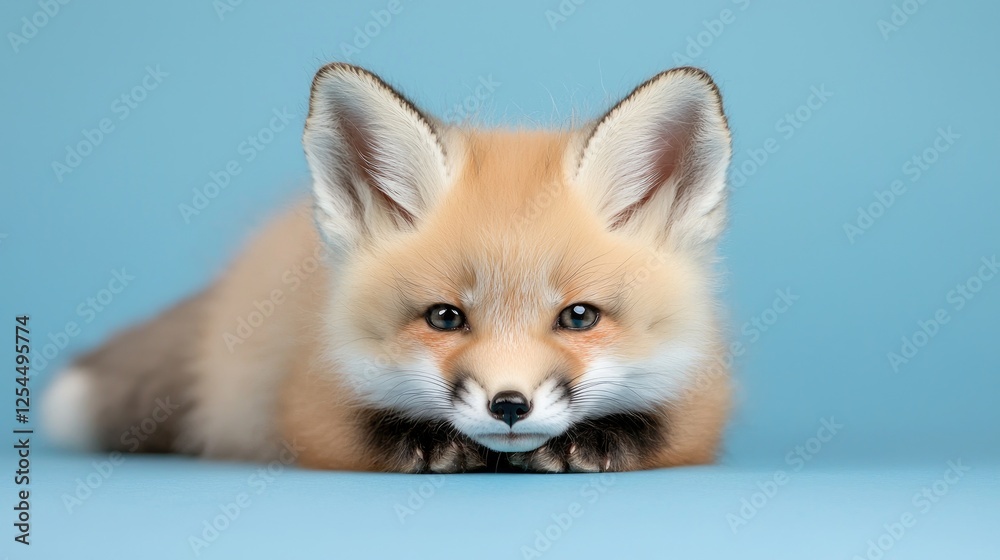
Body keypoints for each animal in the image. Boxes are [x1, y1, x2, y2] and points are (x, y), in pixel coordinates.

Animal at [42, 63, 733, 473]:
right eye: (445, 317)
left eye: (580, 316)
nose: (509, 405)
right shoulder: (306, 407)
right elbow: (365, 434)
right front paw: (426, 442)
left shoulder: (702, 405)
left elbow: (656, 431)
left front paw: (595, 440)